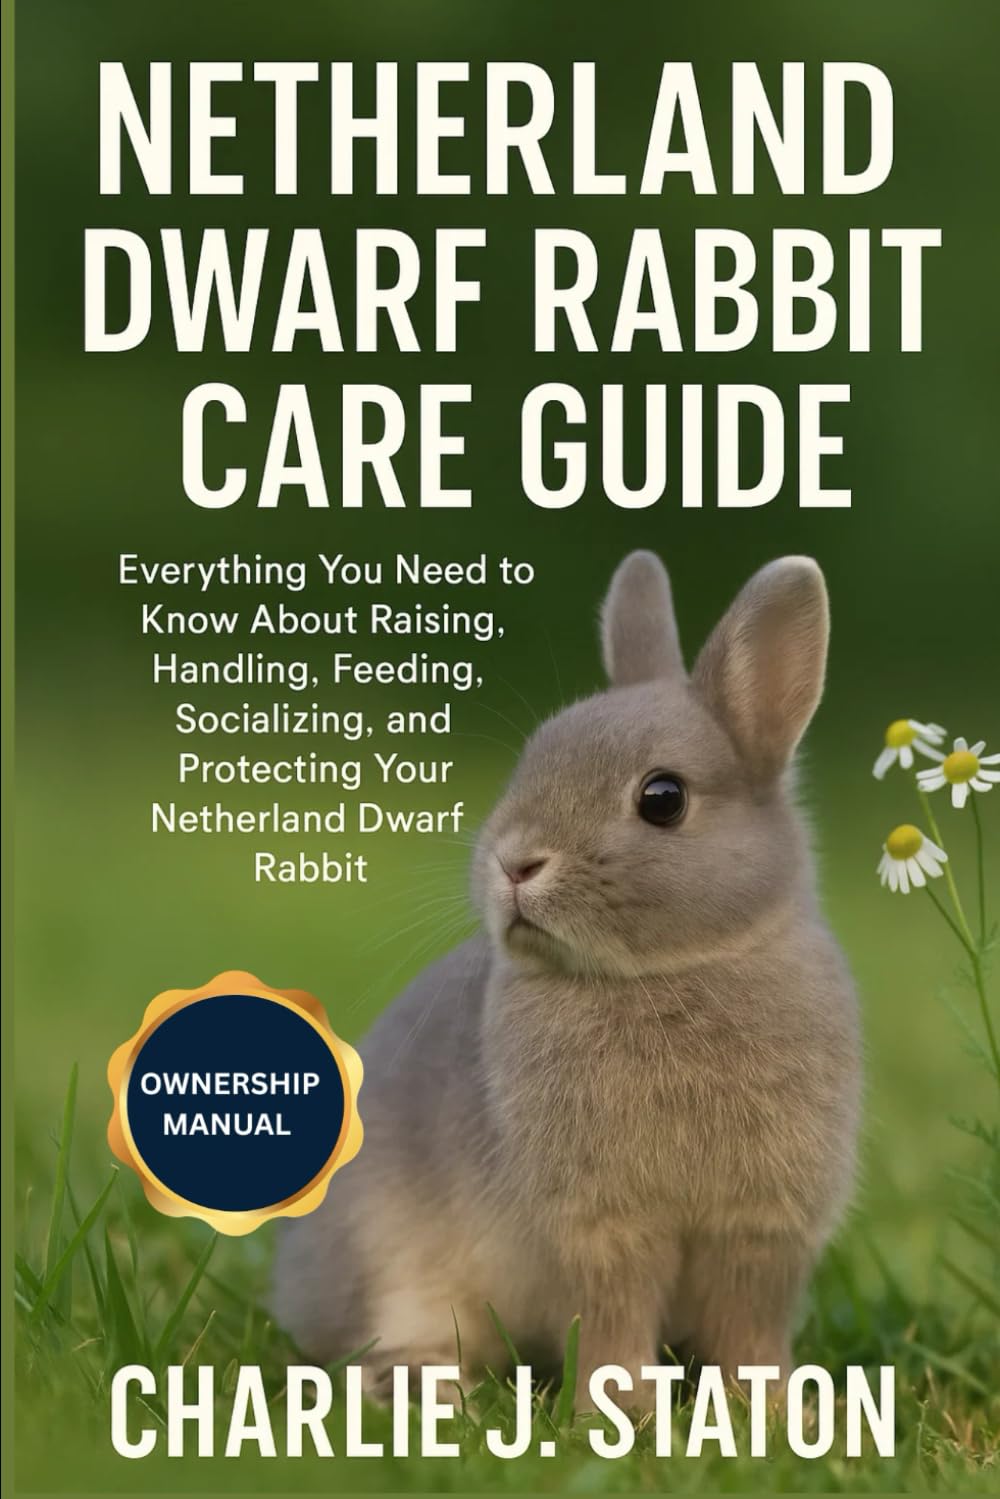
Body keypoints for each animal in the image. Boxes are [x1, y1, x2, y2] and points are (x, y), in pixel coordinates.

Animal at [273, 550, 861, 1405]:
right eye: (533, 758)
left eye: (662, 798)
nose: (513, 862)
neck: (666, 971)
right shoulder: (596, 1232)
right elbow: (613, 1327)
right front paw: (625, 1415)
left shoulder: (761, 1232)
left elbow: (749, 1334)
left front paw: (777, 1413)